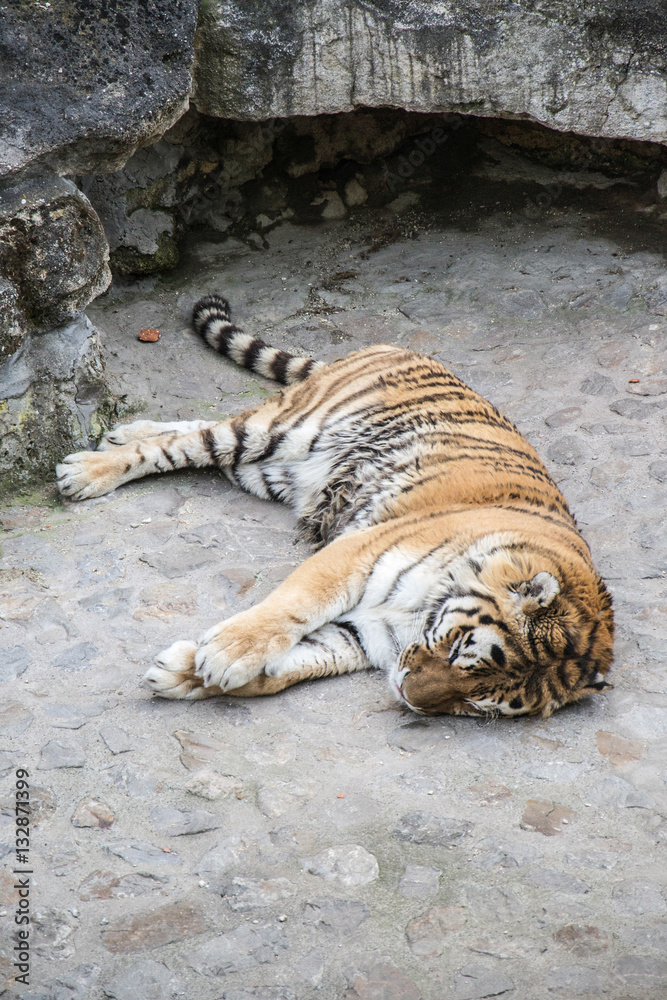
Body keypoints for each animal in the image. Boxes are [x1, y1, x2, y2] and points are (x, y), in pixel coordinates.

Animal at [56, 293, 614, 718]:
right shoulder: (357, 553)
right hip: (277, 431)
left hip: (268, 470)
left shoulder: (363, 634)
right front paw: (226, 655)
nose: (407, 696)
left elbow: (293, 666)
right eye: (460, 652)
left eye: (479, 703)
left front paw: (186, 672)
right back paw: (86, 470)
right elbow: (290, 607)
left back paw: (122, 432)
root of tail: (396, 349)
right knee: (189, 441)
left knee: (194, 433)